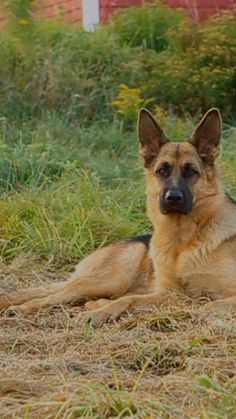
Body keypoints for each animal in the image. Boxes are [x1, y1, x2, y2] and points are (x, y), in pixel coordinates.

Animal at [0, 108, 236, 324]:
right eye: (162, 171)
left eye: (191, 171)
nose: (173, 198)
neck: (183, 241)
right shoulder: (167, 292)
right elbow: (129, 300)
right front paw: (100, 313)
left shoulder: (174, 295)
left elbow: (207, 305)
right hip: (112, 277)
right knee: (57, 294)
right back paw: (23, 309)